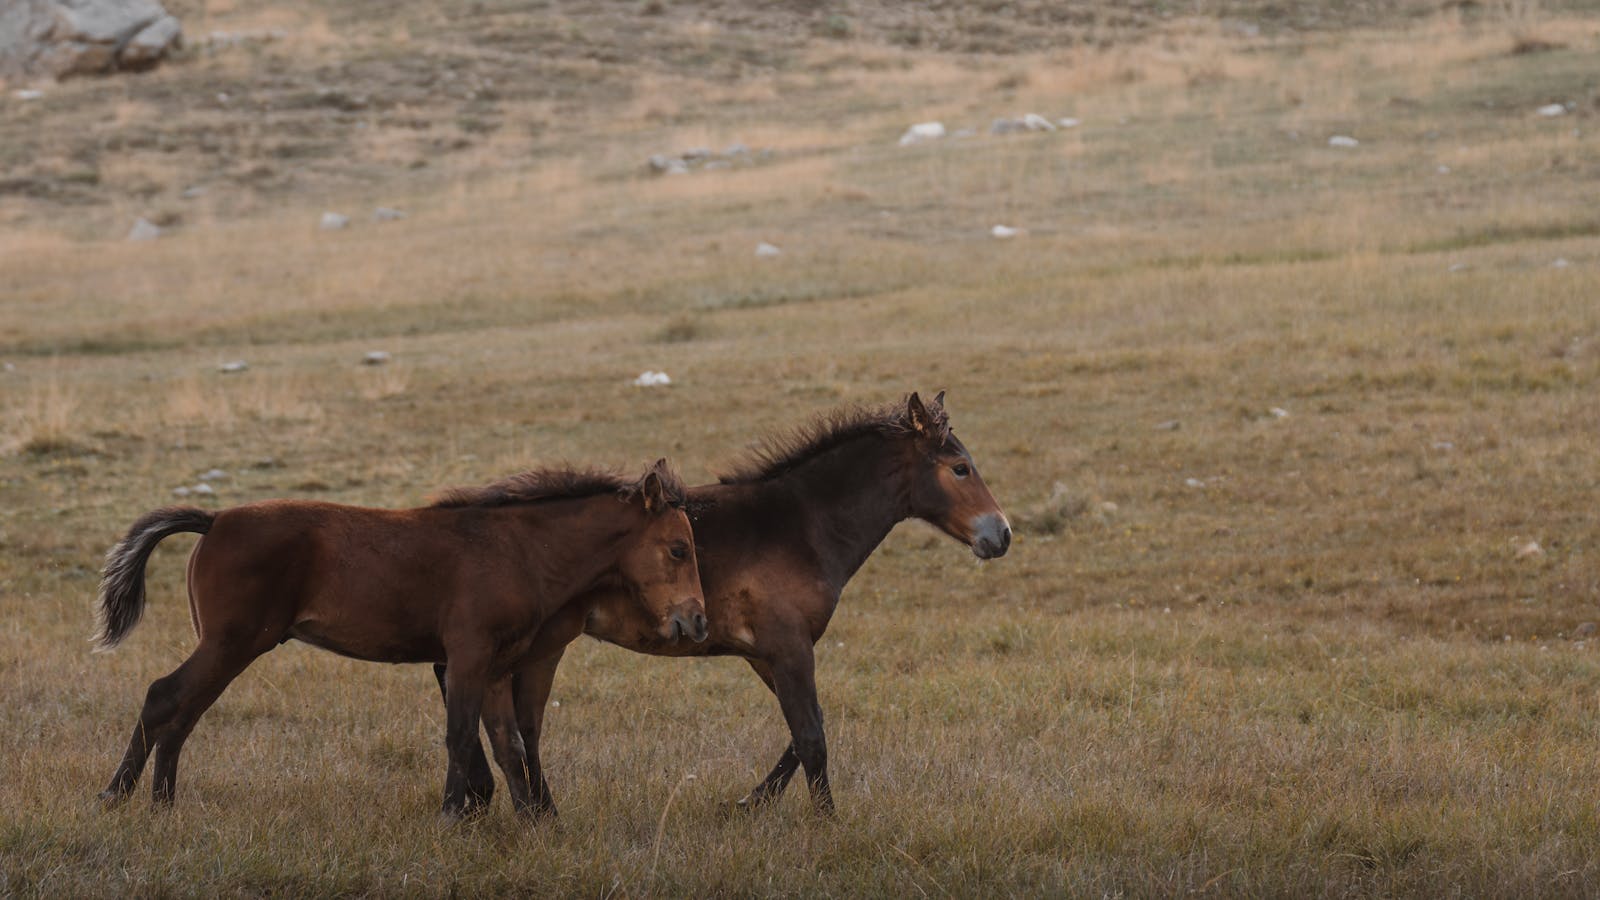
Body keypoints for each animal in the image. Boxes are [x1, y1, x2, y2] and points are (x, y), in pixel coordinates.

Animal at [93, 458, 707, 816]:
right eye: (679, 548)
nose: (696, 622)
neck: (519, 551)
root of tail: (216, 519)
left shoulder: (496, 667)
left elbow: (507, 742)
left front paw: (530, 822)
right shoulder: (467, 657)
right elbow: (460, 735)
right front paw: (453, 815)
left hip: (228, 646)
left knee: (185, 710)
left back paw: (162, 803)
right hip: (232, 642)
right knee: (165, 697)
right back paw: (116, 796)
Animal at [444, 389, 1004, 810]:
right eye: (960, 468)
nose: (1001, 535)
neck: (802, 525)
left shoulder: (766, 654)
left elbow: (805, 731)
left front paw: (750, 803)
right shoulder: (789, 647)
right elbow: (812, 737)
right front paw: (826, 821)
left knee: (515, 726)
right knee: (511, 725)